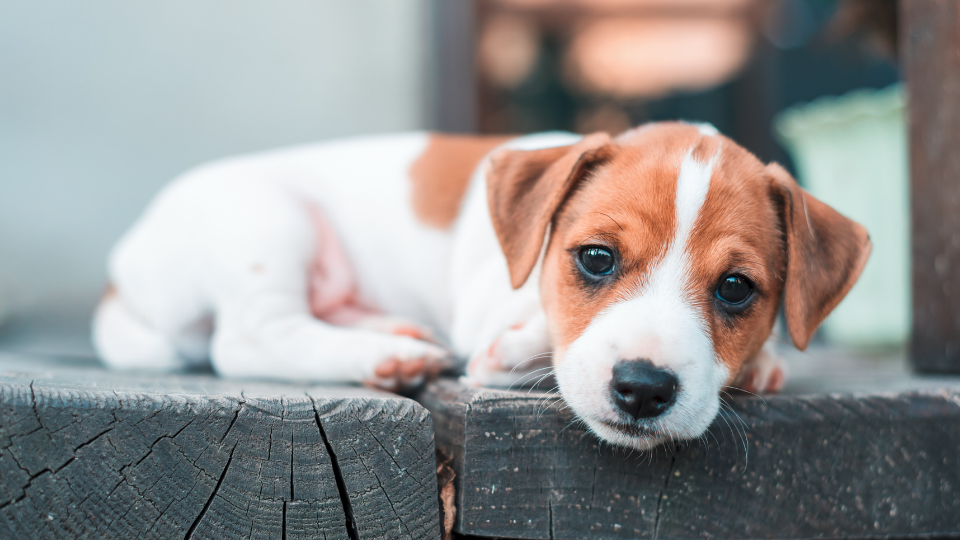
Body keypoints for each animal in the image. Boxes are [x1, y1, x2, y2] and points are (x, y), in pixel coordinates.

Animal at [92, 123, 872, 452]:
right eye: (595, 258)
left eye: (736, 289)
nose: (644, 389)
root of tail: (119, 275)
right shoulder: (489, 300)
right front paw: (519, 344)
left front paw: (765, 360)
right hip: (270, 222)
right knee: (249, 337)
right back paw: (389, 356)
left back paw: (392, 333)